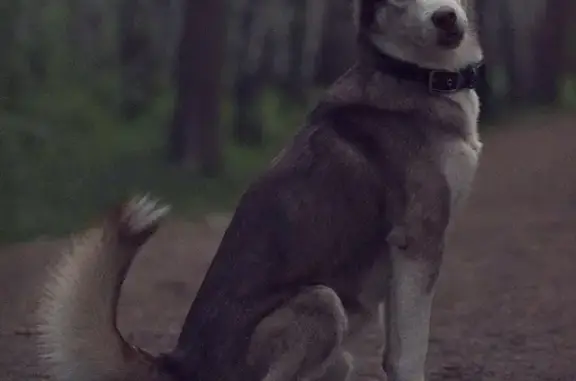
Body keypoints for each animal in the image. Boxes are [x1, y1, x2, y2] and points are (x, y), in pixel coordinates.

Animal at [37, 0, 486, 378]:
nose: (445, 18)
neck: (412, 73)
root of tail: (181, 364)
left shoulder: (401, 260)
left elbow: (395, 350)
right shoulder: (419, 240)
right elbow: (410, 352)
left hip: (339, 355)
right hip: (321, 304)